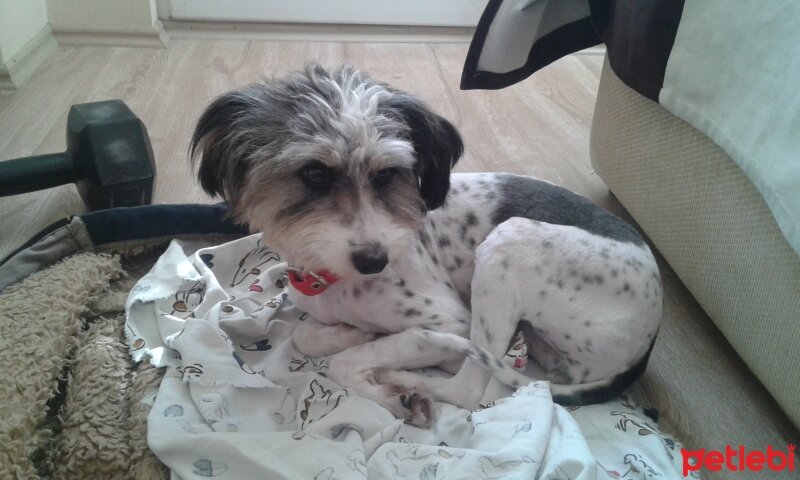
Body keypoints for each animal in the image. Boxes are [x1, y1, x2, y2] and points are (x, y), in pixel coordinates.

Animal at [188, 62, 664, 426]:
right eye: (315, 174)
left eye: (387, 175)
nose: (375, 261)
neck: (333, 280)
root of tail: (648, 340)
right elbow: (306, 336)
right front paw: (349, 333)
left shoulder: (451, 323)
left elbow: (349, 360)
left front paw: (385, 385)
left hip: (507, 245)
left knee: (470, 388)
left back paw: (412, 382)